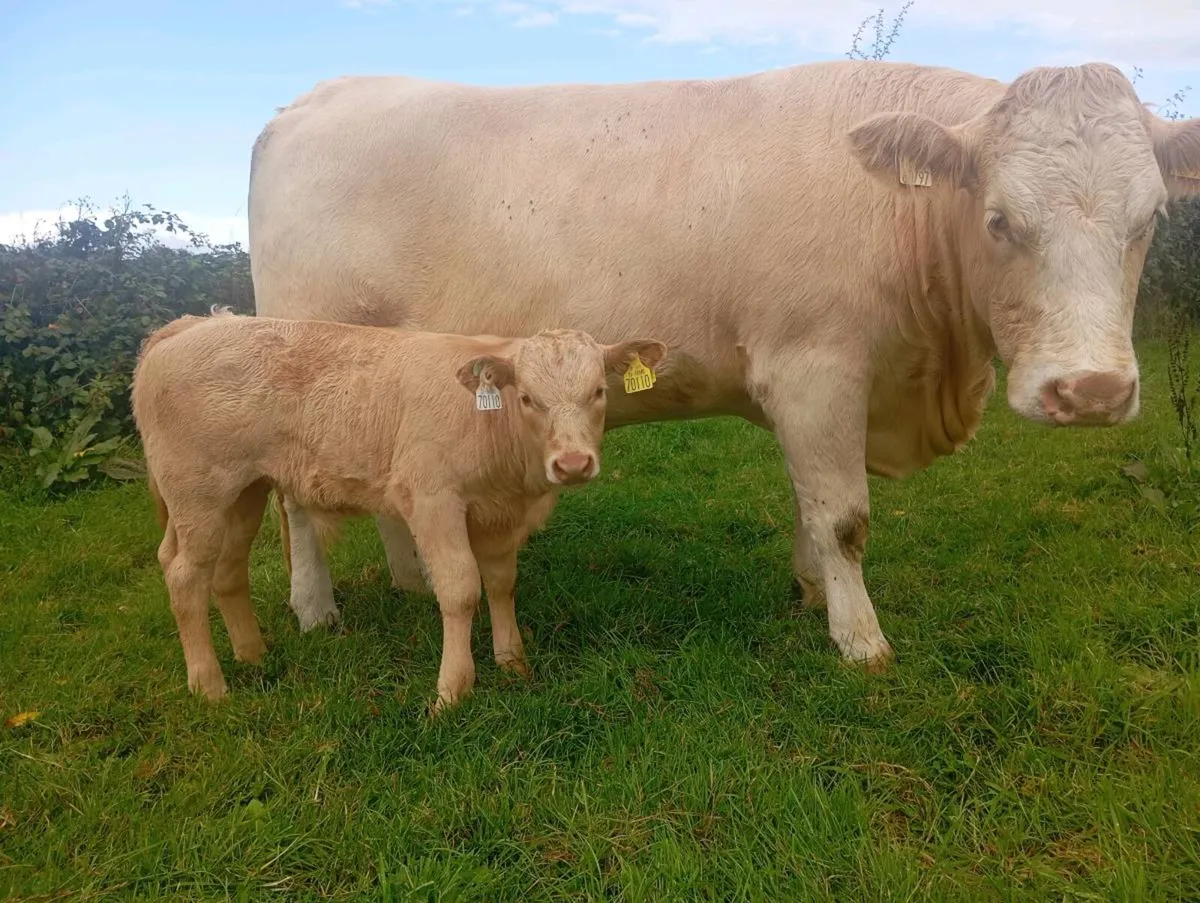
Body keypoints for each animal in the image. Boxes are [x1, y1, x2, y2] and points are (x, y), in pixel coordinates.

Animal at [130, 307, 668, 708]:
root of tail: (190, 324)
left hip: (244, 492)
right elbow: (460, 588)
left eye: (598, 392)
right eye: (528, 398)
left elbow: (501, 582)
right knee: (184, 576)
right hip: (197, 494)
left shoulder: (500, 513)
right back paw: (209, 685)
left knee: (225, 570)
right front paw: (453, 689)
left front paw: (512, 660)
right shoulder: (433, 500)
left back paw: (252, 654)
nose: (573, 464)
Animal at [247, 59, 1200, 673]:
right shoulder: (814, 368)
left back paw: (410, 579)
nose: (1091, 391)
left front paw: (812, 592)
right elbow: (846, 515)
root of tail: (314, 99)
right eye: (1000, 220)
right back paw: (315, 609)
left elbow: (812, 506)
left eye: (1151, 218)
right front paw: (861, 640)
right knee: (296, 502)